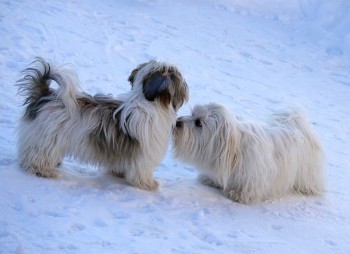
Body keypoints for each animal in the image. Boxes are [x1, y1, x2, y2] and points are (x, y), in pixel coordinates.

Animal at [16, 57, 189, 190]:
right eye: (178, 78)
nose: (186, 91)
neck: (147, 101)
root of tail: (45, 96)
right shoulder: (144, 157)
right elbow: (142, 172)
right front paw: (149, 185)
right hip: (46, 139)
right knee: (36, 157)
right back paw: (42, 170)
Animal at [174, 102, 324, 203]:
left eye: (199, 123)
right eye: (192, 114)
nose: (177, 122)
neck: (234, 148)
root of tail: (299, 125)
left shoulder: (255, 172)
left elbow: (250, 186)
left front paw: (239, 194)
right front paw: (210, 179)